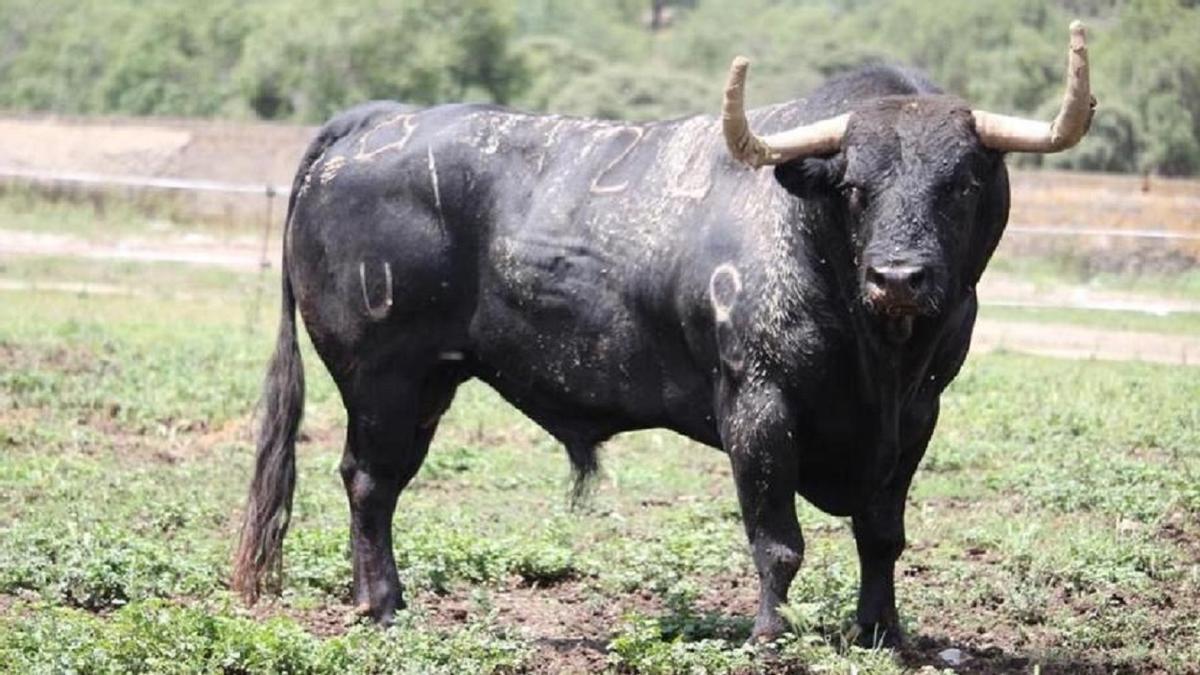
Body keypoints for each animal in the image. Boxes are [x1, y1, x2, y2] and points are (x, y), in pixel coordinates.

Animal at [238, 65, 1017, 643]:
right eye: (856, 186)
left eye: (962, 184)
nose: (898, 277)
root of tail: (378, 120)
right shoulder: (757, 406)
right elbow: (777, 538)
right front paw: (771, 635)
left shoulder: (917, 416)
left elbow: (882, 534)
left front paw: (883, 632)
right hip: (384, 380)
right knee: (369, 482)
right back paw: (382, 605)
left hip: (428, 383)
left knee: (379, 481)